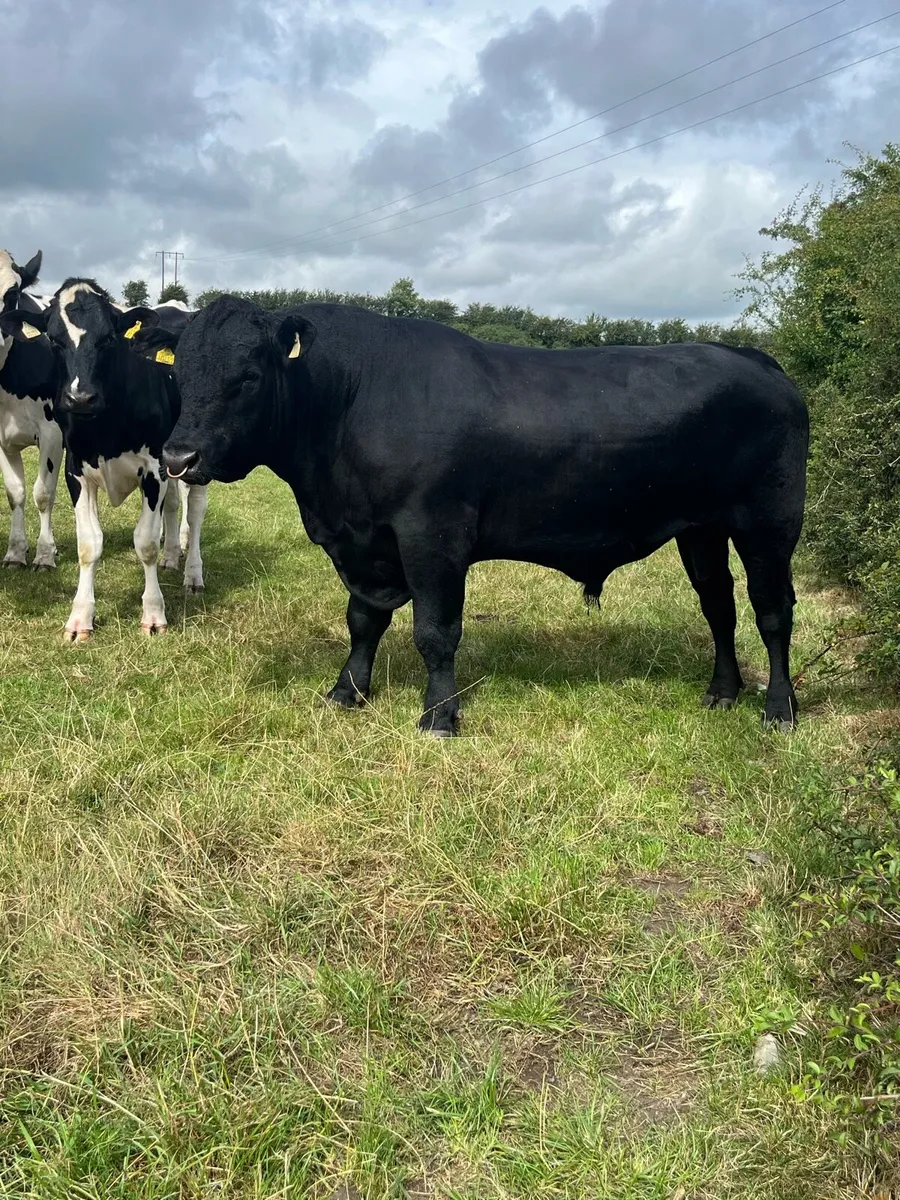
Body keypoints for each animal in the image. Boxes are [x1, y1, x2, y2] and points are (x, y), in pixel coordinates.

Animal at [0, 278, 209, 640]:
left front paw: (153, 613)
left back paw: (192, 574)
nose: (80, 398)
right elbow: (89, 545)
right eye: (54, 340)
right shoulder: (77, 472)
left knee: (194, 512)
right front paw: (80, 617)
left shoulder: (153, 472)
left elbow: (146, 543)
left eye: (109, 338)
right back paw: (171, 558)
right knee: (172, 507)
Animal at [158, 295, 809, 737]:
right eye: (180, 373)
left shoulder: (432, 535)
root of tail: (757, 360)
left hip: (770, 522)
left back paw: (778, 708)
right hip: (703, 528)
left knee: (772, 612)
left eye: (247, 377)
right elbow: (363, 620)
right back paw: (722, 692)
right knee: (719, 606)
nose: (178, 457)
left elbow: (436, 632)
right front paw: (347, 692)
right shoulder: (365, 542)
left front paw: (439, 716)